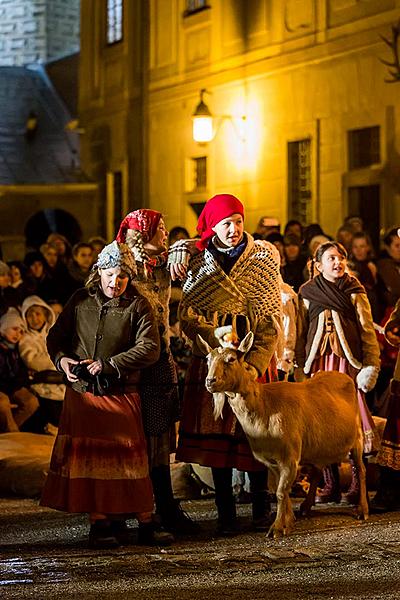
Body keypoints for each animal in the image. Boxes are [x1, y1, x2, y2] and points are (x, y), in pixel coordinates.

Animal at [197, 332, 368, 540]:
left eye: (231, 359)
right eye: (208, 359)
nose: (210, 381)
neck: (264, 406)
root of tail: (342, 375)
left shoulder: (289, 456)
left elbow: (280, 492)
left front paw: (277, 527)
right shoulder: (273, 460)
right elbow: (282, 491)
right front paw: (288, 521)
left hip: (358, 438)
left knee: (361, 470)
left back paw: (362, 510)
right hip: (320, 445)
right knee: (317, 471)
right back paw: (306, 506)